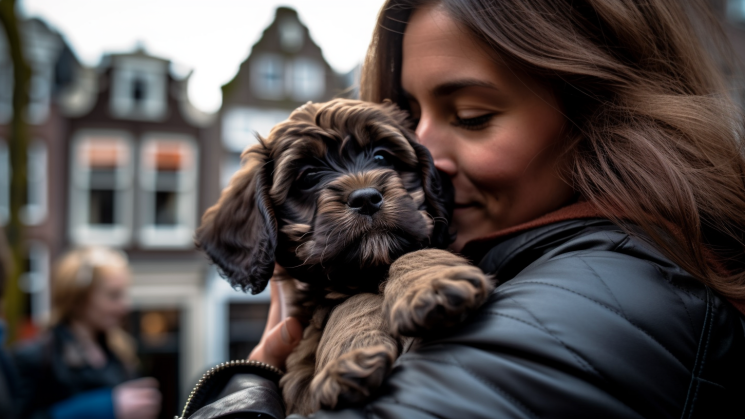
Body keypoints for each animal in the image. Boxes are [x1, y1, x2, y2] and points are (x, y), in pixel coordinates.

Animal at [196, 99, 494, 416]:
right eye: (308, 177)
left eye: (381, 156)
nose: (366, 198)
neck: (366, 272)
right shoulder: (300, 378)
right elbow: (353, 301)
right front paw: (349, 359)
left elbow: (415, 253)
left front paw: (433, 286)